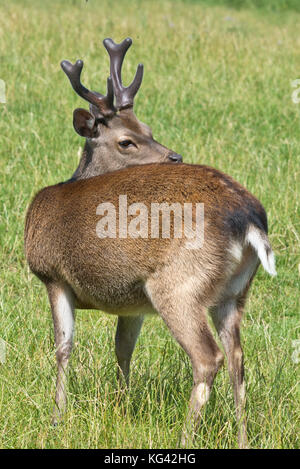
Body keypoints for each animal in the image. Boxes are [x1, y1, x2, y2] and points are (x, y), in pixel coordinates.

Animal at [24, 37, 276, 450]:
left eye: (148, 128)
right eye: (128, 138)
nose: (174, 156)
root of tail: (250, 219)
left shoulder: (52, 274)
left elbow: (63, 348)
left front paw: (56, 418)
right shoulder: (131, 302)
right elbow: (123, 350)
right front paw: (121, 409)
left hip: (177, 285)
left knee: (208, 357)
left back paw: (185, 438)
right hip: (234, 292)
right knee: (239, 359)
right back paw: (242, 439)